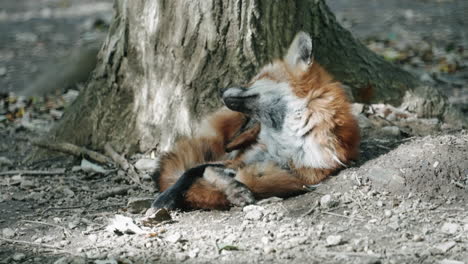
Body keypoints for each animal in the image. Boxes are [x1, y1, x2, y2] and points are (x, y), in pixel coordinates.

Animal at [152, 31, 360, 210]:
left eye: (255, 78)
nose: (220, 90)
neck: (285, 139)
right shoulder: (245, 158)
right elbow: (198, 171)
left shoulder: (302, 171)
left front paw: (237, 189)